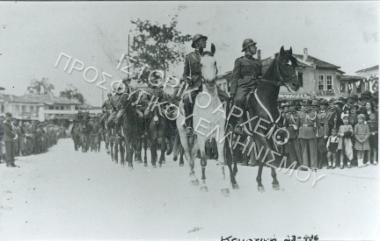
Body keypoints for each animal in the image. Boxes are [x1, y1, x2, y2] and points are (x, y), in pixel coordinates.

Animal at [242, 46, 302, 191]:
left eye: (295, 64)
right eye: (285, 64)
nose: (296, 84)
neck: (266, 100)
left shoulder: (269, 133)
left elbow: (267, 156)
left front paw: (269, 181)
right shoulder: (259, 133)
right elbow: (268, 155)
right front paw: (265, 182)